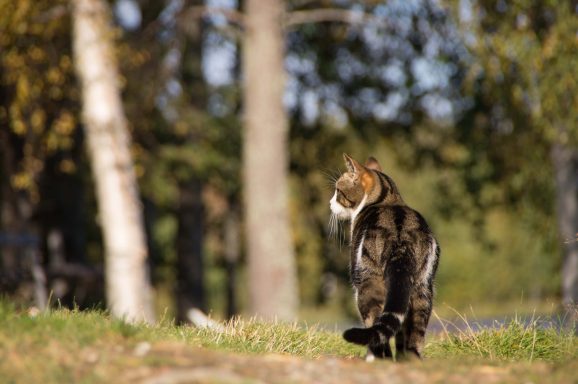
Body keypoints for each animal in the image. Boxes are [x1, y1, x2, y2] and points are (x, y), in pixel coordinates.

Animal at [326, 153, 438, 360]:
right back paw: (409, 361)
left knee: (375, 328)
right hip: (423, 289)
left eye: (338, 191)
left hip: (367, 285)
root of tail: (401, 242)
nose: (330, 204)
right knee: (414, 334)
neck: (387, 199)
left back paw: (375, 359)